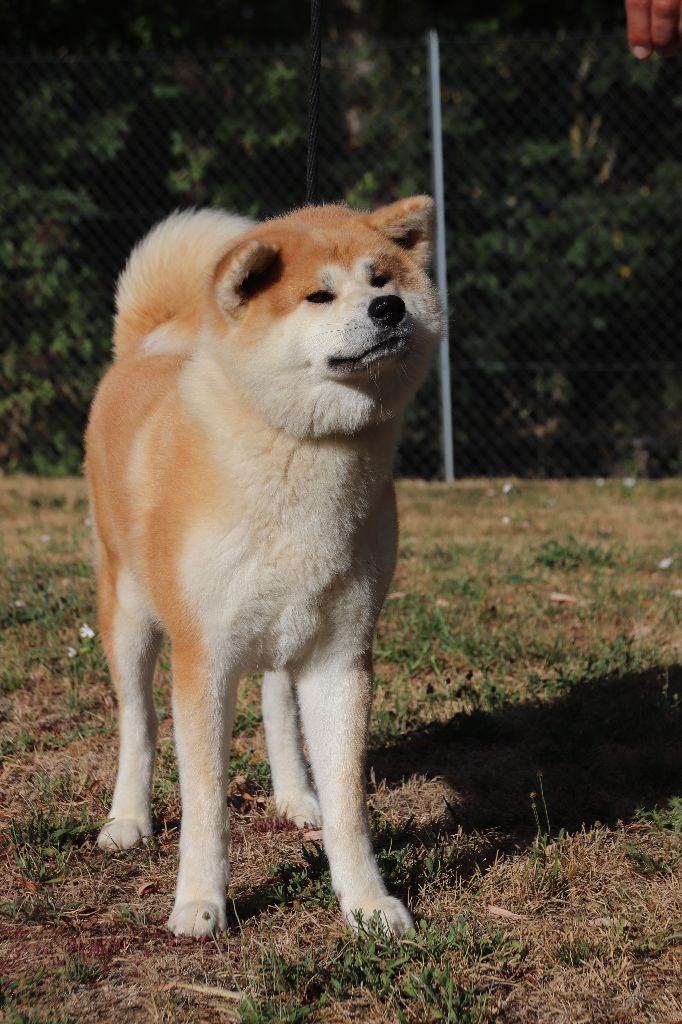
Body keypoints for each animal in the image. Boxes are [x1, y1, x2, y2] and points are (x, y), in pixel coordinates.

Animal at [84, 197, 438, 937]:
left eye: (382, 277)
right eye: (319, 295)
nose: (389, 308)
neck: (300, 451)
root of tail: (147, 351)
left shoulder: (341, 656)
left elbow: (349, 805)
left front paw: (366, 902)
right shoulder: (204, 657)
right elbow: (206, 803)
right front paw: (200, 901)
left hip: (288, 624)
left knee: (278, 708)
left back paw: (295, 795)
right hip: (129, 616)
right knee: (138, 723)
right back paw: (127, 819)